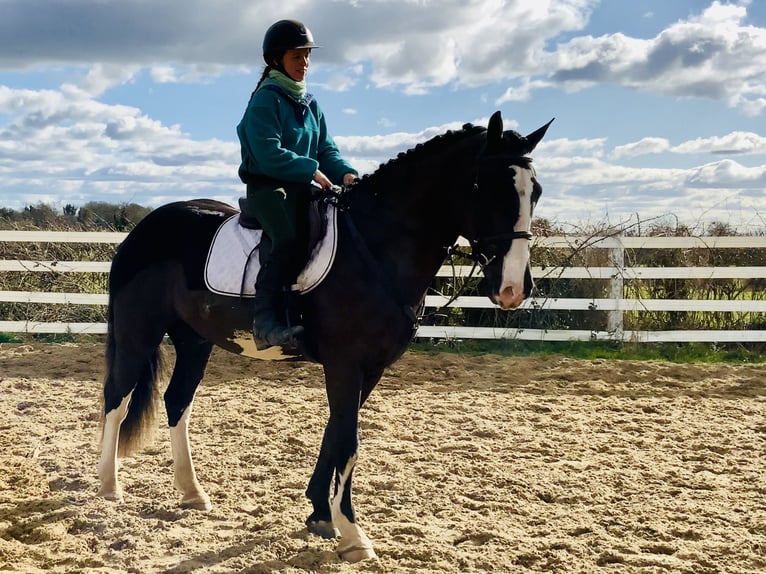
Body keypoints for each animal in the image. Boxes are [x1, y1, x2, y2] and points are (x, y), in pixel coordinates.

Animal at [97, 111, 552, 564]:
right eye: (486, 187)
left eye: (536, 192)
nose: (513, 289)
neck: (377, 245)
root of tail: (145, 227)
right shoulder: (345, 365)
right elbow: (348, 443)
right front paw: (353, 534)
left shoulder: (369, 369)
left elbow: (334, 435)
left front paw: (319, 514)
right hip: (139, 333)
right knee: (118, 399)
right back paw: (109, 486)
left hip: (195, 341)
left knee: (177, 401)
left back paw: (192, 492)